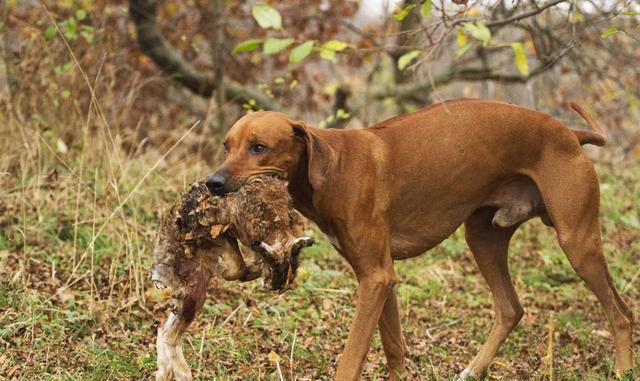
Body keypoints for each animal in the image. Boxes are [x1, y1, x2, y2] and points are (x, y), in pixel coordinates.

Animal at [206, 99, 636, 378]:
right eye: (226, 146)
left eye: (259, 147)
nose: (213, 183)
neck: (332, 166)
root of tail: (569, 133)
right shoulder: (379, 278)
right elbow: (394, 347)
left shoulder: (376, 278)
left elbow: (350, 359)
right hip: (483, 238)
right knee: (511, 309)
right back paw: (474, 369)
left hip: (577, 241)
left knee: (621, 313)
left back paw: (621, 369)